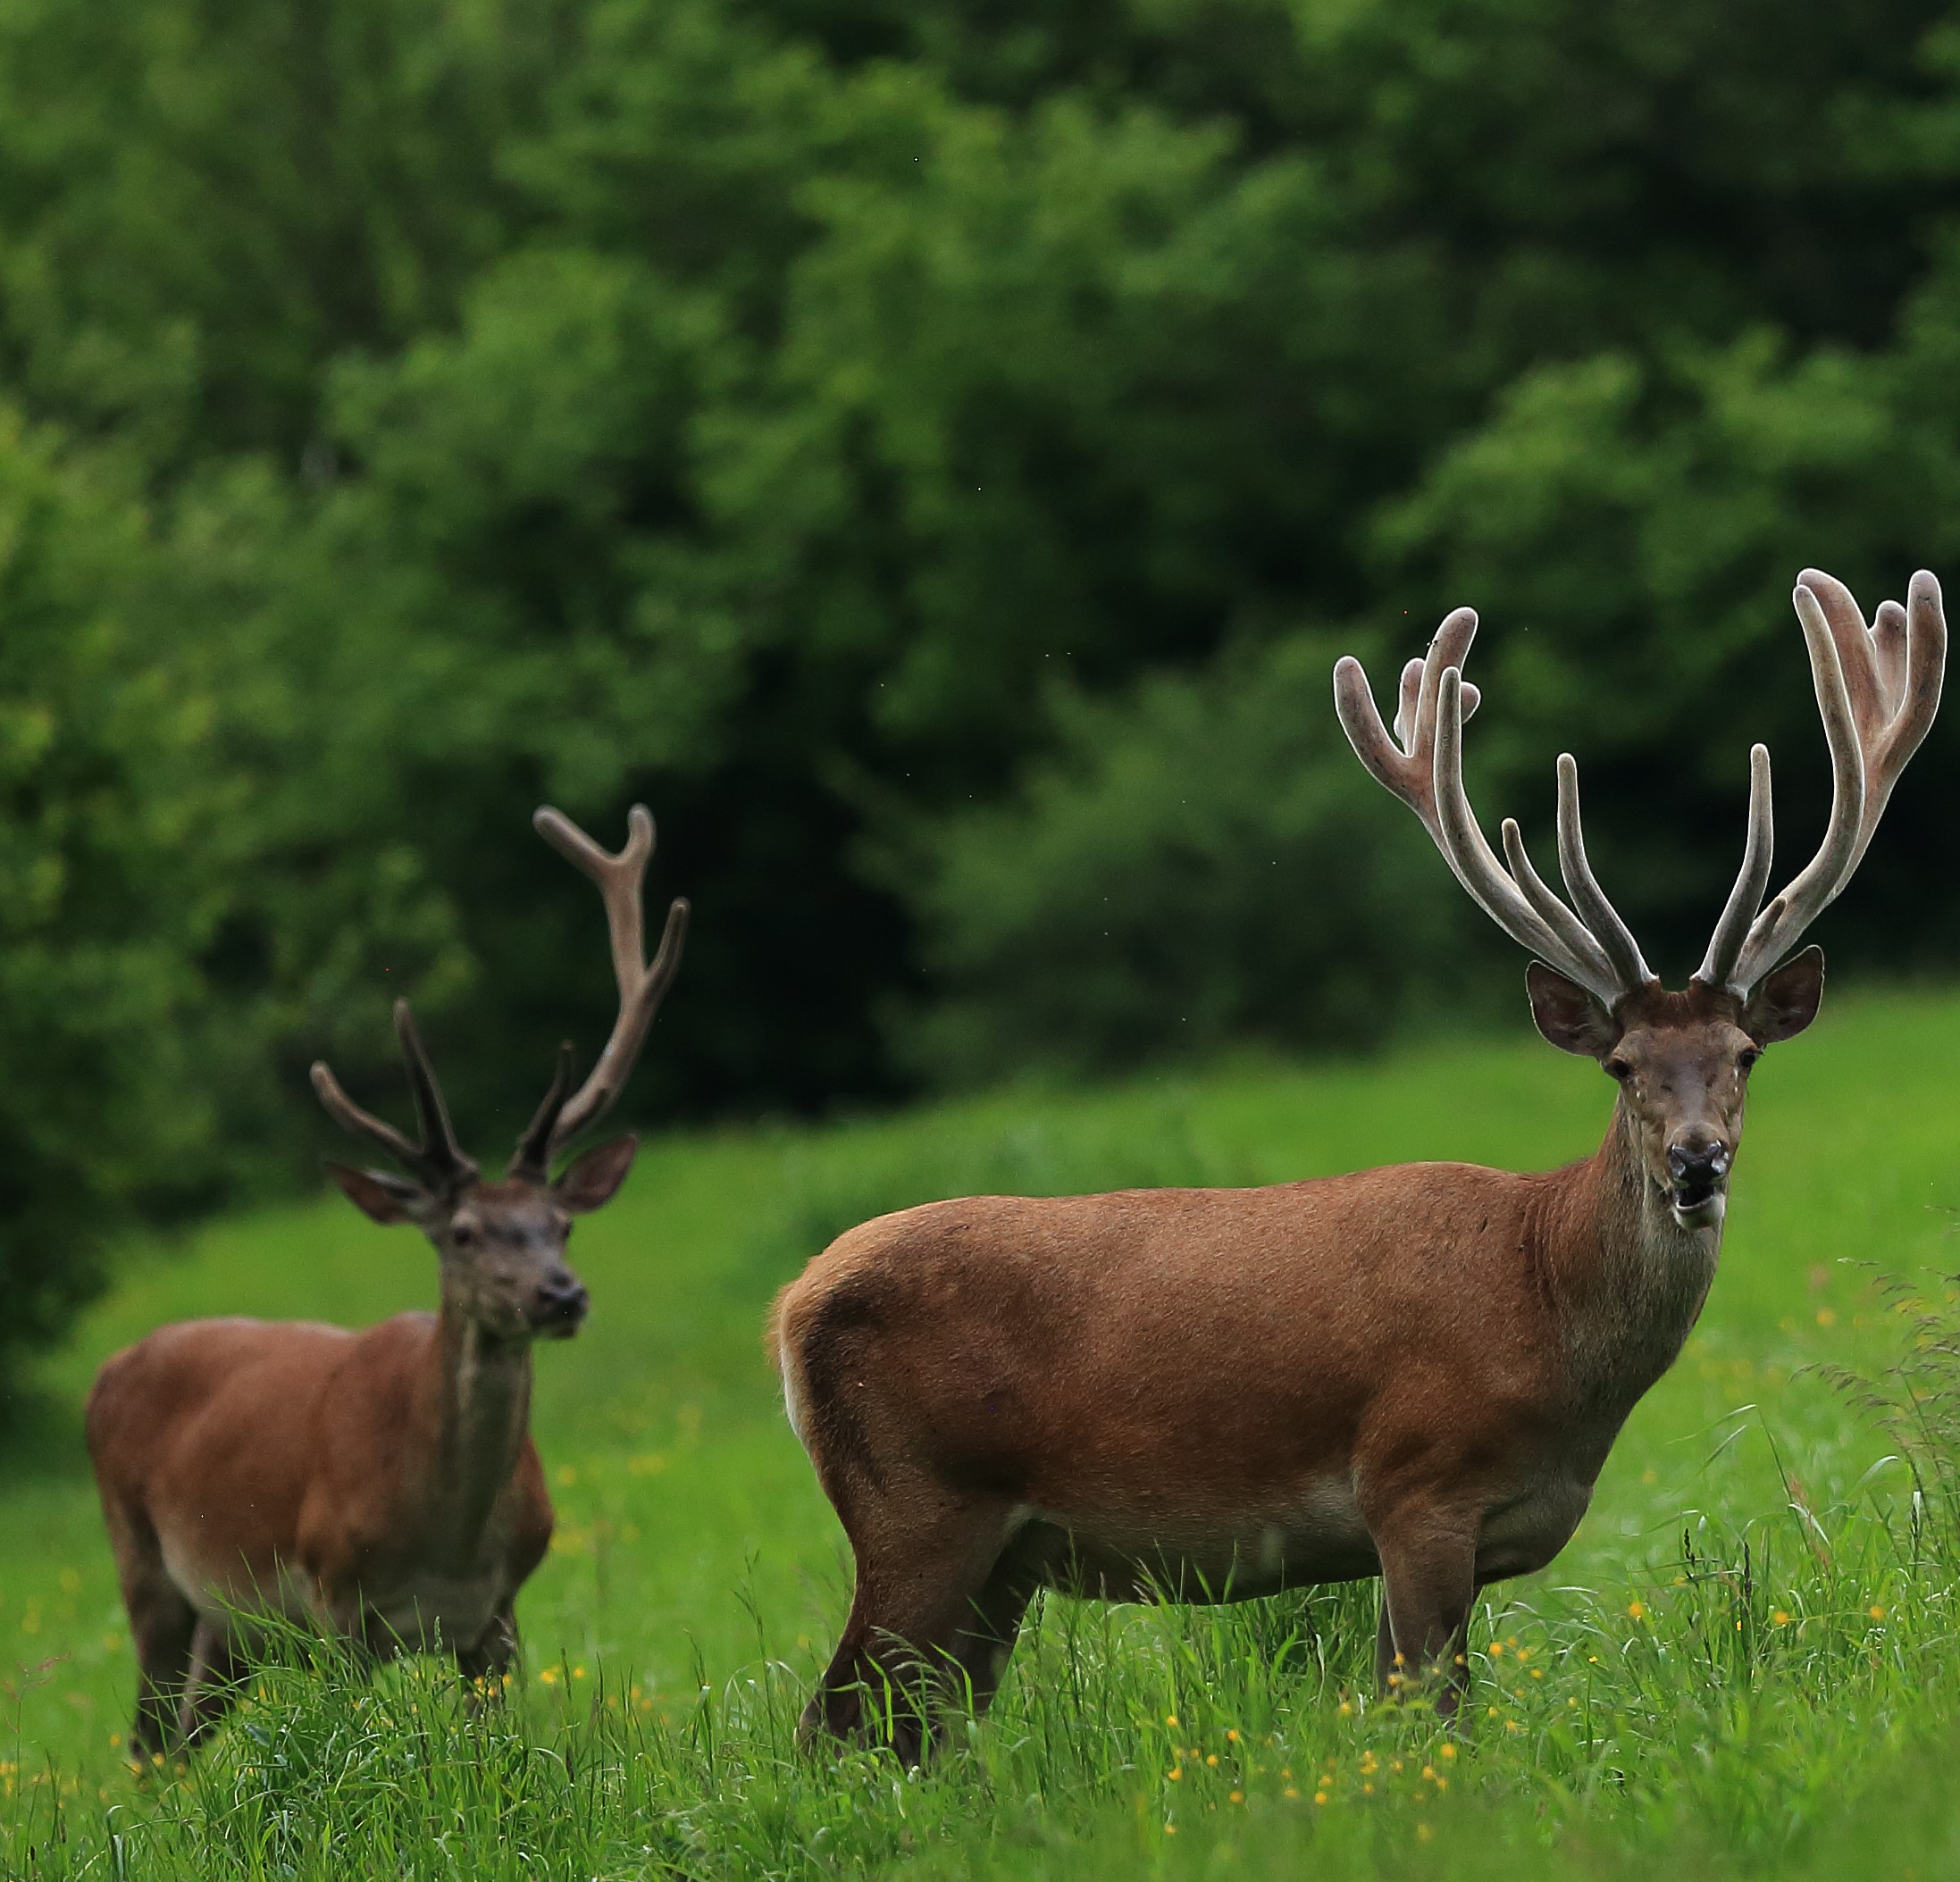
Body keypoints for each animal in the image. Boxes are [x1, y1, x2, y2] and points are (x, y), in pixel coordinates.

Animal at [88, 807, 685, 1764]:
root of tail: (110, 1368)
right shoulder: (333, 1596)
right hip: (146, 1567)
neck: (445, 1539)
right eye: (463, 1232)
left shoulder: (497, 1618)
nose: (560, 1295)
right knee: (146, 1746)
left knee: (180, 1737)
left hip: (234, 1629)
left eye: (561, 1224)